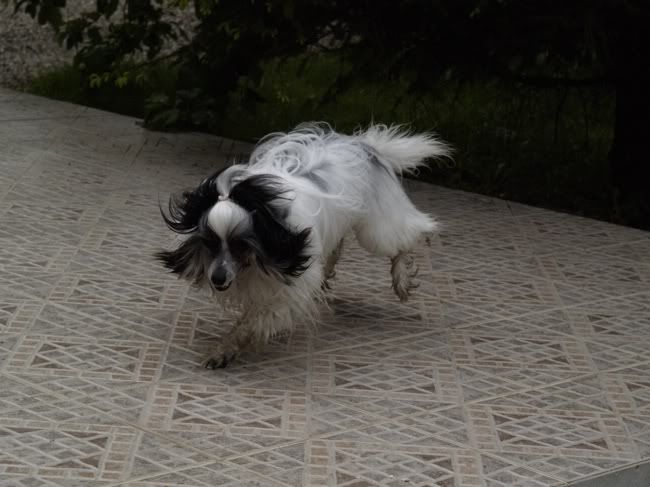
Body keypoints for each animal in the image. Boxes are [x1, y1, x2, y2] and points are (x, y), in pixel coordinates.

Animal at [156, 123, 449, 368]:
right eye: (209, 242)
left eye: (241, 245)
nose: (217, 279)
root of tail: (366, 146)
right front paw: (224, 348)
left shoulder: (288, 287)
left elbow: (255, 321)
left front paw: (229, 347)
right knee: (338, 248)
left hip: (376, 228)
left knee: (406, 239)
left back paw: (401, 280)